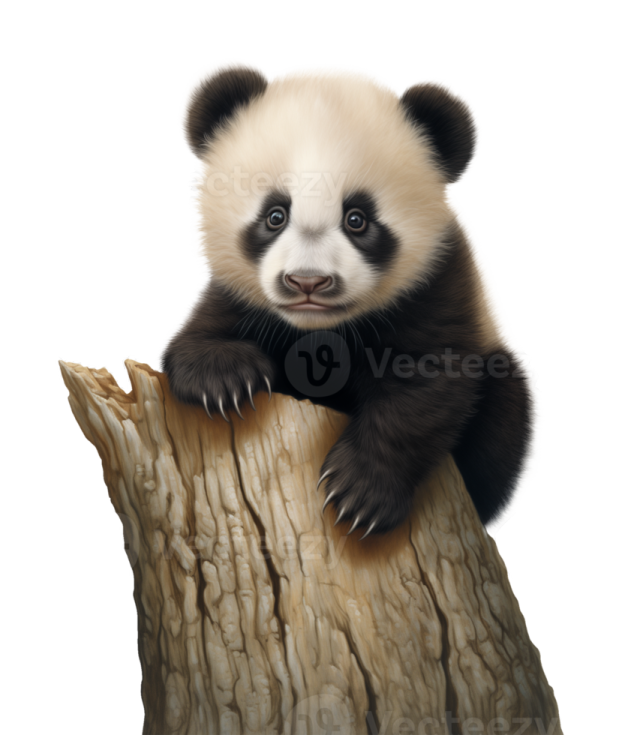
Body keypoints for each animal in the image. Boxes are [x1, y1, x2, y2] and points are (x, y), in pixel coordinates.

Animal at [157, 58, 542, 539]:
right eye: (275, 215)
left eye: (357, 219)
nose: (307, 282)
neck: (320, 331)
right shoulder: (238, 295)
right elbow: (193, 340)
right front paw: (223, 380)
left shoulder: (438, 284)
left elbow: (424, 384)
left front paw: (361, 494)